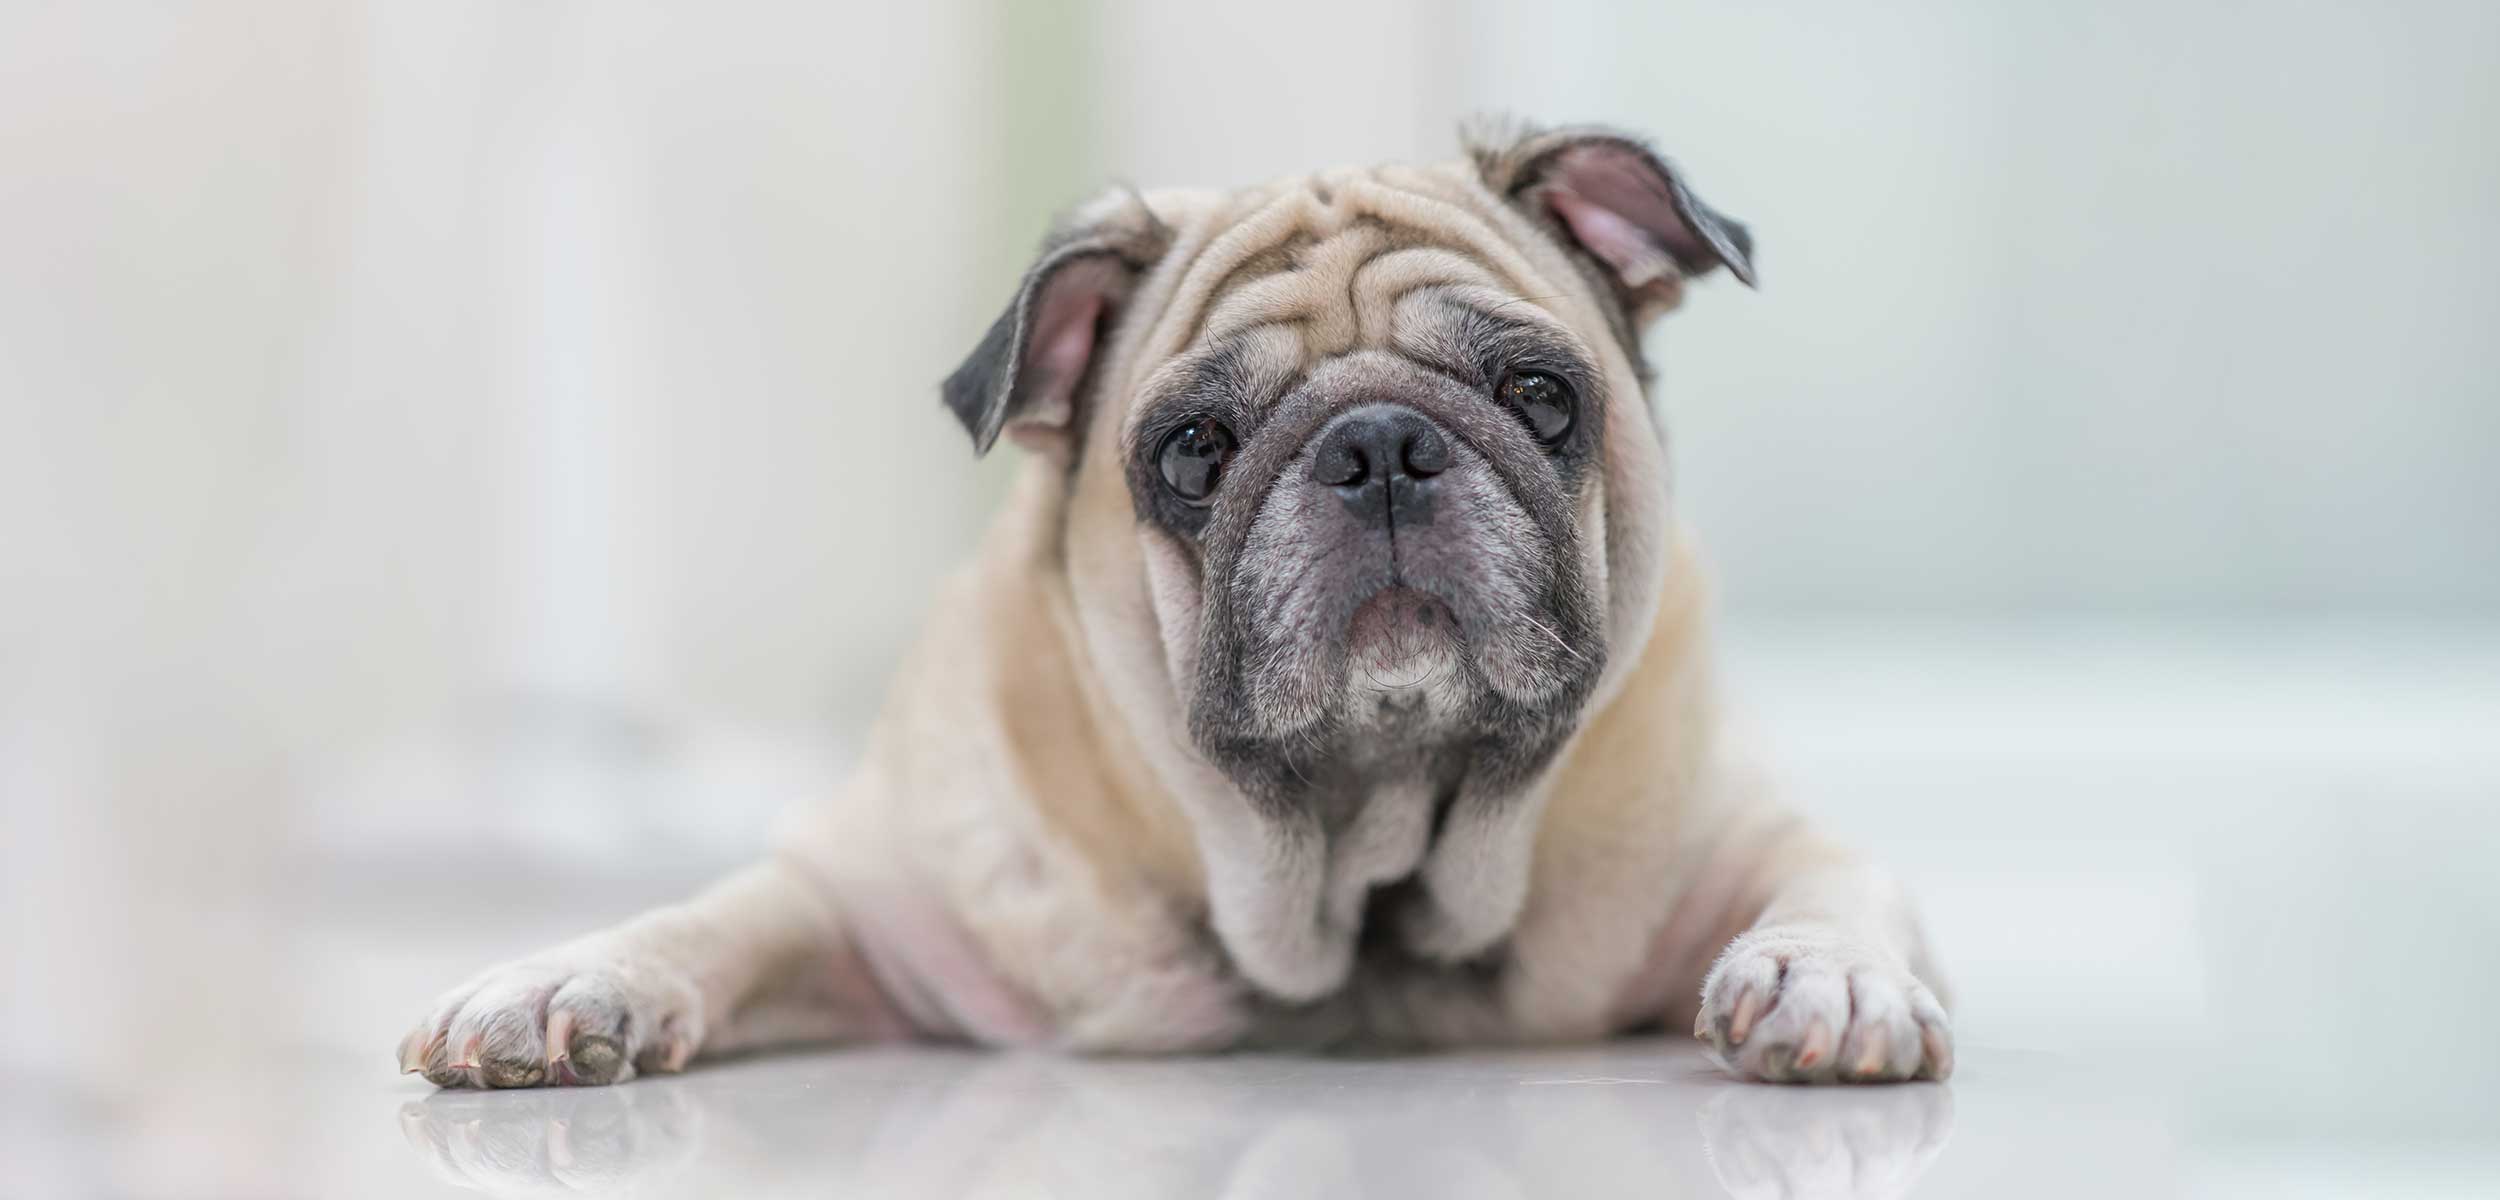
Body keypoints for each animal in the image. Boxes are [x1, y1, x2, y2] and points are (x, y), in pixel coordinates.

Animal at [400, 126, 1950, 1090]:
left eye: (1539, 395)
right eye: (1194, 453)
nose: (1379, 446)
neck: (1353, 868)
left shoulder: (1742, 838)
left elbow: (1833, 879)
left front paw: (1826, 977)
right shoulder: (864, 904)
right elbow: (711, 919)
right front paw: (566, 986)